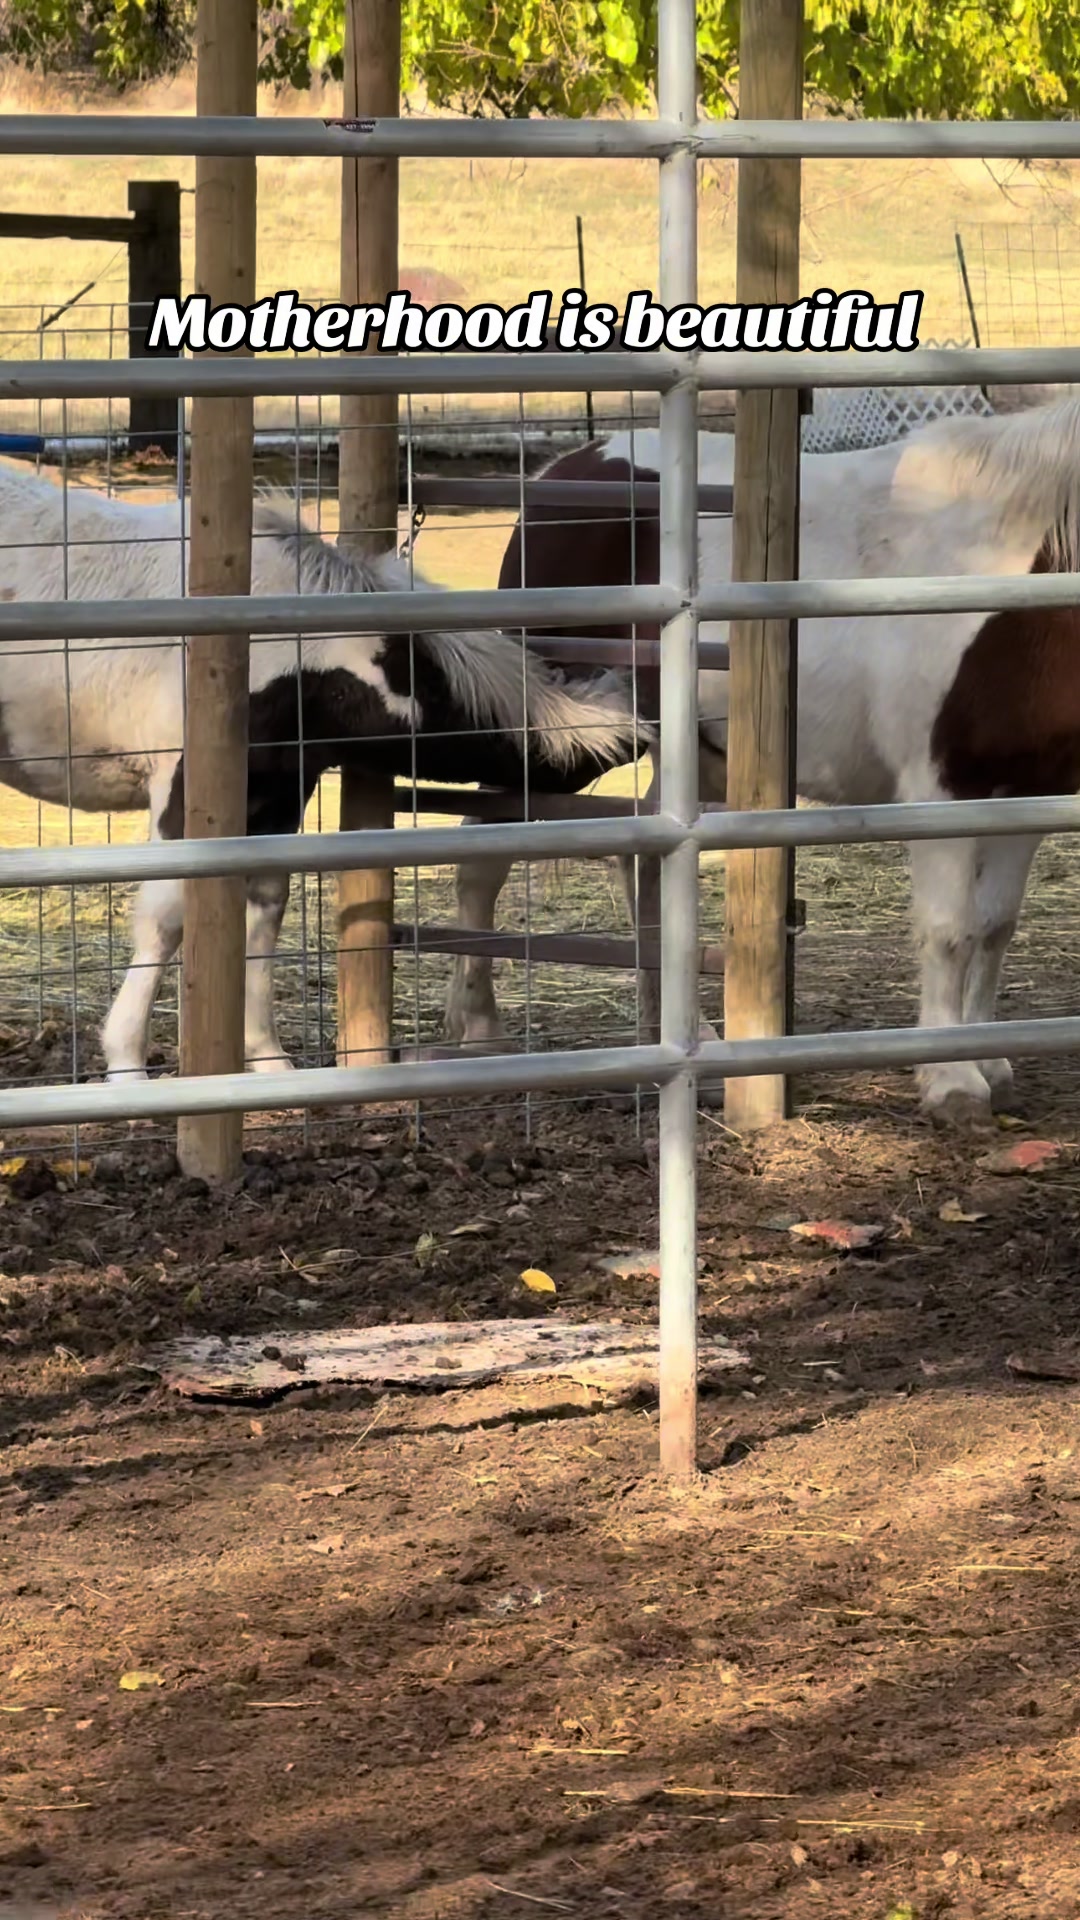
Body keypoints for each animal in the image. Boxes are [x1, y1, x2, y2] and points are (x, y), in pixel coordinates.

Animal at [0, 461, 648, 1082]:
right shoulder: (182, 794)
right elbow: (165, 919)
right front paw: (127, 1063)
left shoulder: (276, 794)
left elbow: (264, 913)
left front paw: (268, 1060)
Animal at [442, 397, 1080, 1128]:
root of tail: (566, 468)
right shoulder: (941, 791)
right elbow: (951, 931)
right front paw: (951, 1082)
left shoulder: (1028, 792)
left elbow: (996, 928)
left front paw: (991, 1064)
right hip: (560, 736)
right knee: (483, 856)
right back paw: (481, 1029)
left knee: (645, 871)